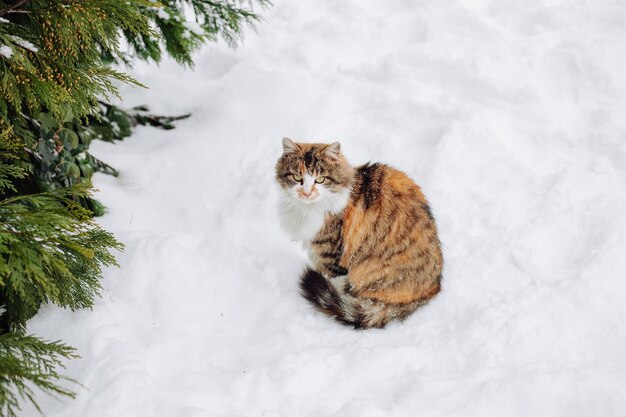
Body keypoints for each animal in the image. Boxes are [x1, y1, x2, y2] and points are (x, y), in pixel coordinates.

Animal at [276, 136, 442, 328]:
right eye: (297, 177)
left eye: (321, 179)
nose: (306, 193)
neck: (306, 209)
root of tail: (433, 289)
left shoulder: (330, 255)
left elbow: (331, 280)